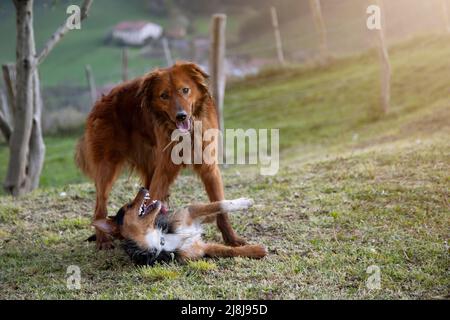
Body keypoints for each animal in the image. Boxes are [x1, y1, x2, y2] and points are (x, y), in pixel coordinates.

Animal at [75, 61, 244, 249]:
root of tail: (100, 102)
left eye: (185, 90)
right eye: (164, 96)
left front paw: (231, 239)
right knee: (100, 207)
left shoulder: (209, 169)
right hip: (107, 169)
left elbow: (221, 207)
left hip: (149, 168)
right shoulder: (164, 170)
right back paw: (103, 239)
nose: (181, 116)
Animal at [92, 188, 268, 264]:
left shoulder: (190, 212)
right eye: (129, 206)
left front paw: (244, 202)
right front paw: (257, 250)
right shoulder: (202, 249)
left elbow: (220, 204)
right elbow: (229, 251)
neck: (160, 238)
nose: (143, 187)